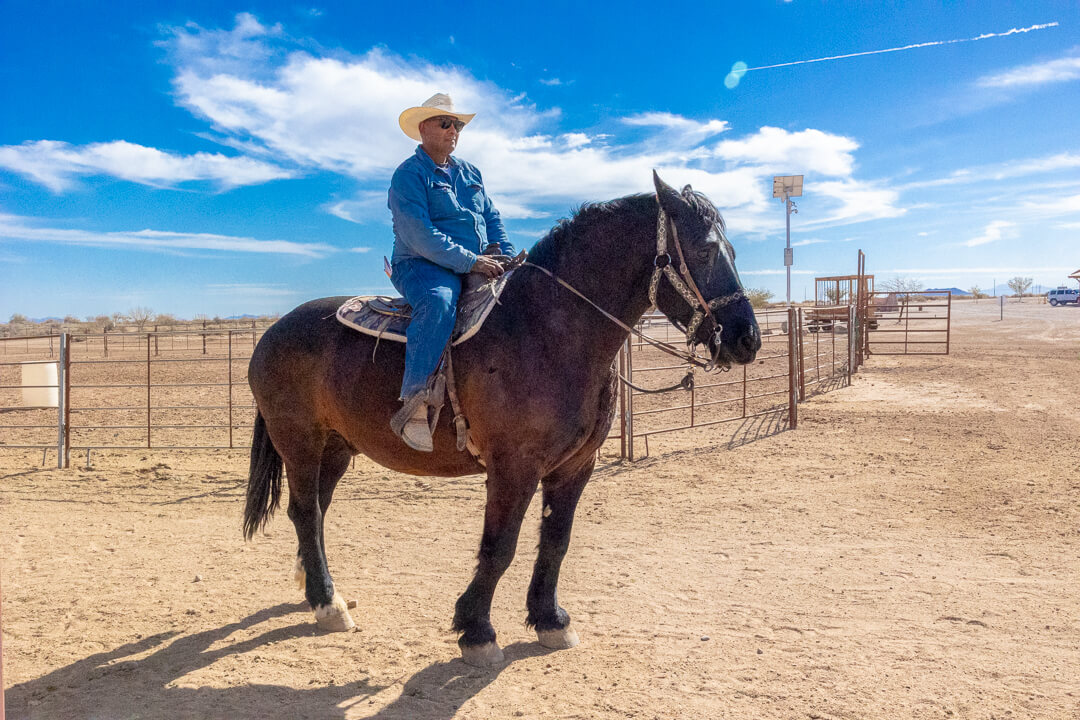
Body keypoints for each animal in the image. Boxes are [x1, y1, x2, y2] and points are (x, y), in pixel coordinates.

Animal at [243, 172, 761, 666]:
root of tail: (272, 332)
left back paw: (316, 588)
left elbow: (556, 540)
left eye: (733, 250)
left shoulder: (575, 467)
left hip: (334, 447)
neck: (546, 333)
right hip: (299, 443)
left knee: (315, 510)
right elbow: (500, 546)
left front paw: (550, 619)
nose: (747, 338)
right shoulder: (514, 468)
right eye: (704, 250)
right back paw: (327, 604)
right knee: (306, 512)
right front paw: (477, 631)